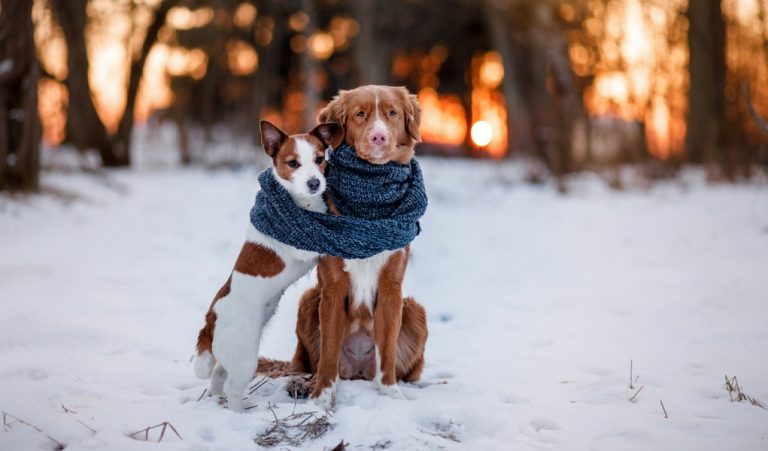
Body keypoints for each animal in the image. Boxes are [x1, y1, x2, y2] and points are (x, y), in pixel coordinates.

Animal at [195, 121, 342, 414]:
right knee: (233, 388)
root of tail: (211, 319)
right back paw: (239, 414)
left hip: (233, 356)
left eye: (319, 159)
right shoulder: (303, 248)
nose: (314, 183)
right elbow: (322, 237)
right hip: (245, 356)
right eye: (293, 163)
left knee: (218, 376)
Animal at [286, 86, 426, 412]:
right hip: (309, 301)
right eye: (360, 114)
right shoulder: (333, 287)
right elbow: (328, 354)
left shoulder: (392, 287)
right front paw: (322, 397)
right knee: (311, 364)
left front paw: (391, 393)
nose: (379, 137)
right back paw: (303, 384)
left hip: (415, 309)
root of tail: (358, 372)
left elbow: (388, 350)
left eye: (392, 113)